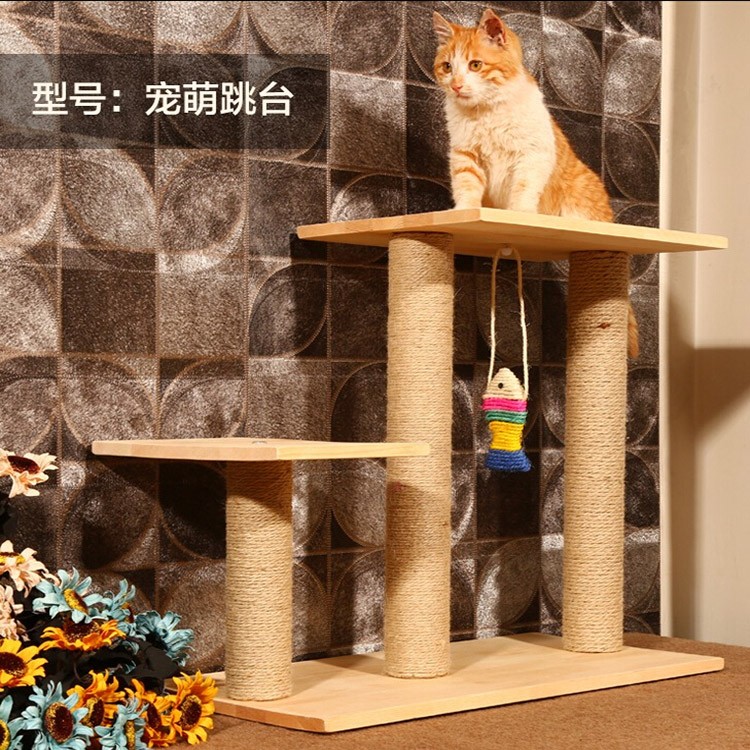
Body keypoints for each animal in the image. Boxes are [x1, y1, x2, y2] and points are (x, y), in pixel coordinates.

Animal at [433, 8, 639, 357]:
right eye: (448, 67)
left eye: (475, 65)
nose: (457, 85)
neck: (485, 113)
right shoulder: (465, 156)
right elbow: (467, 188)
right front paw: (464, 212)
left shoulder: (531, 156)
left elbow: (523, 189)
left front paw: (519, 214)